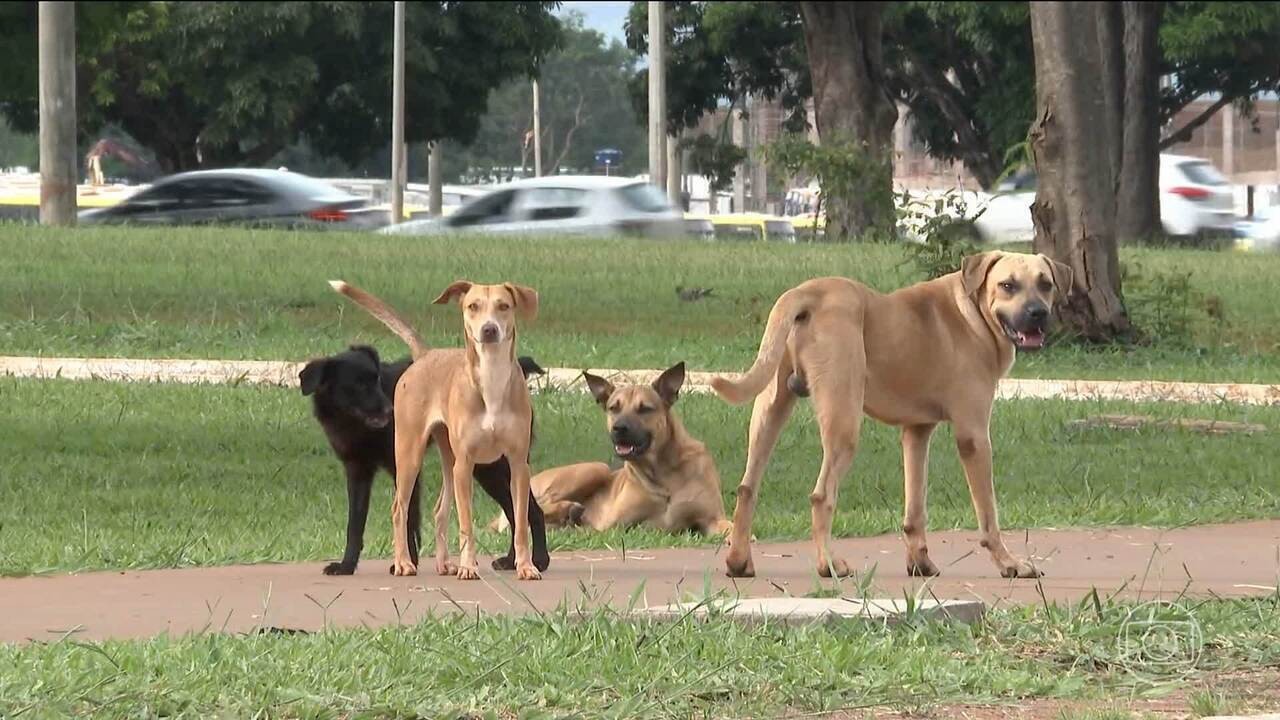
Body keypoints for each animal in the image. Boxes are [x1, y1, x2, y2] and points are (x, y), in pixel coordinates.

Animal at [304, 345, 555, 573]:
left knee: (527, 510)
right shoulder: (358, 472)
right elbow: (355, 523)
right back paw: (512, 561)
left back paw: (538, 560)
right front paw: (346, 565)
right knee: (515, 511)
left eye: (376, 380)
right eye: (358, 385)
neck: (353, 423)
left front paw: (408, 561)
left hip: (492, 466)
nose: (389, 409)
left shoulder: (403, 468)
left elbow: (409, 516)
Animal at [327, 275, 542, 576]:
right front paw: (469, 567)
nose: (489, 330)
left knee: (440, 510)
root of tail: (425, 355)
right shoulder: (465, 464)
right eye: (473, 306)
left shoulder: (518, 465)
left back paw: (443, 564)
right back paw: (403, 563)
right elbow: (466, 524)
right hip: (410, 455)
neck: (491, 381)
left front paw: (525, 567)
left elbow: (521, 522)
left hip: (449, 460)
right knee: (399, 508)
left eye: (504, 306)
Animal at [488, 361, 737, 535]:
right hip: (594, 468)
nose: (619, 428)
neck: (663, 471)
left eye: (645, 409)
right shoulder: (616, 524)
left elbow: (731, 528)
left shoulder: (712, 519)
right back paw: (568, 509)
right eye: (613, 408)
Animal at [711, 249, 1070, 579]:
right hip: (843, 421)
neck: (974, 313)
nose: (1038, 313)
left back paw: (739, 561)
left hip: (769, 411)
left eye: (1046, 284)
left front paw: (920, 563)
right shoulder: (974, 436)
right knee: (821, 495)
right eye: (1008, 285)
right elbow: (988, 513)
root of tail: (808, 292)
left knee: (747, 487)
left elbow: (915, 507)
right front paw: (1009, 563)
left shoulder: (917, 432)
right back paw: (829, 564)